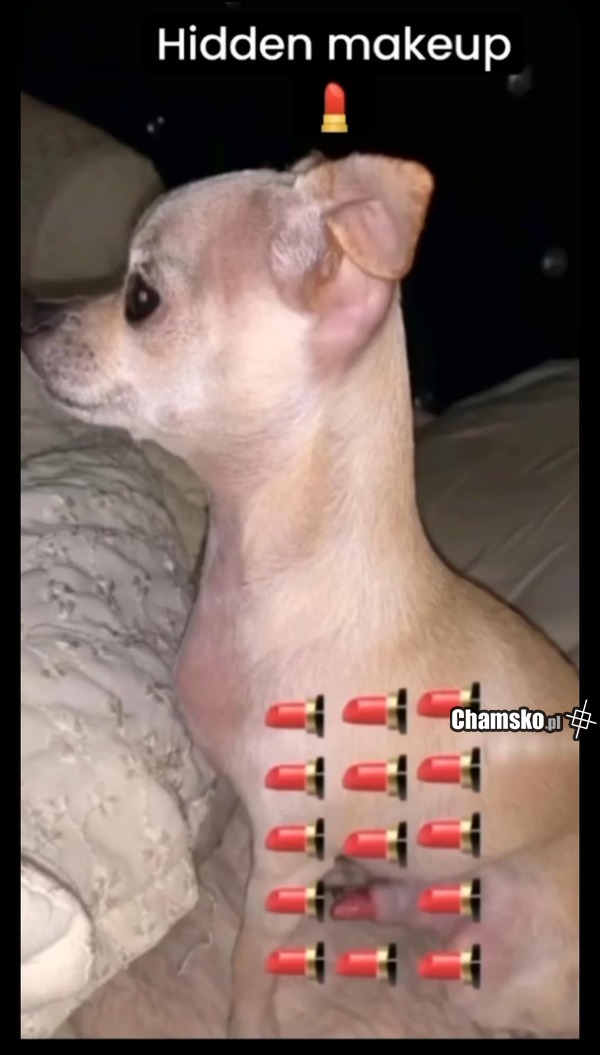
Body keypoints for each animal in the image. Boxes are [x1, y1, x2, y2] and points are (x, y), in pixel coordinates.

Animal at [21, 151, 579, 1039]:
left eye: (141, 297)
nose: (34, 313)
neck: (263, 580)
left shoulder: (282, 852)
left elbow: (251, 957)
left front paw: (249, 1021)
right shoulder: (232, 783)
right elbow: (212, 829)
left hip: (491, 964)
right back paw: (361, 888)